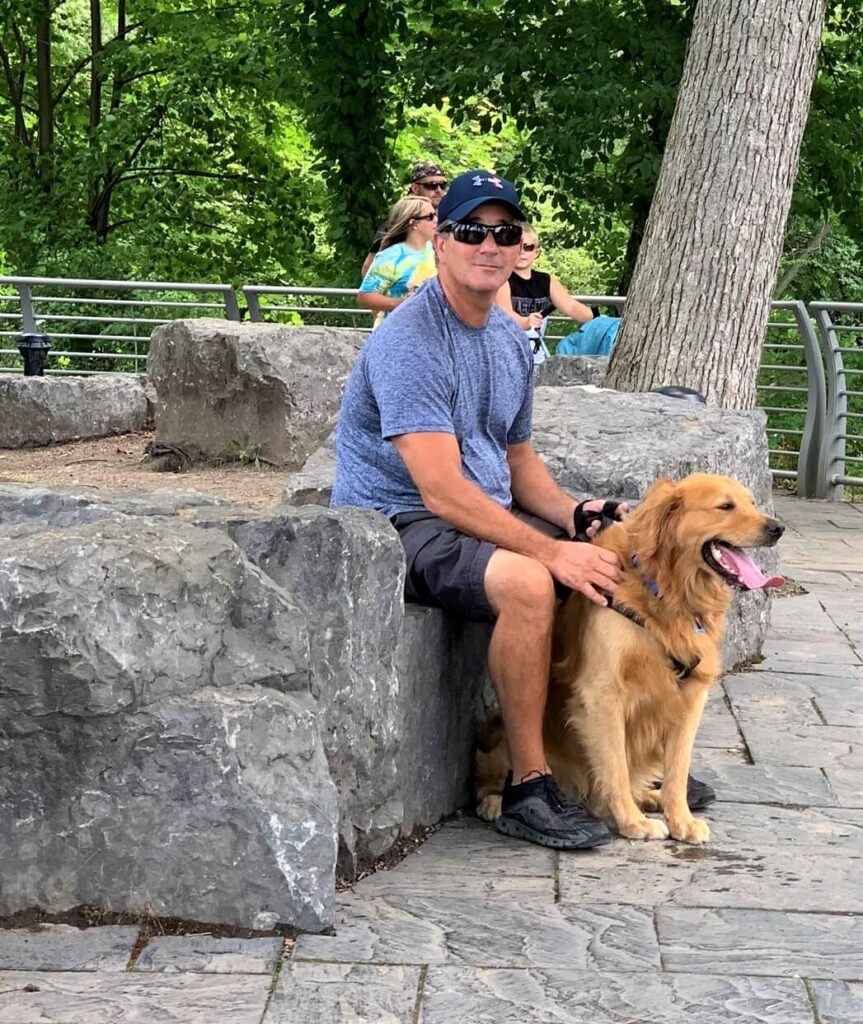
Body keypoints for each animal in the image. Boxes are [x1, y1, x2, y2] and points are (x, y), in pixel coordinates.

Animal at [475, 471, 786, 839]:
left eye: (752, 502)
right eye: (725, 506)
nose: (777, 528)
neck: (667, 592)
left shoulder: (690, 696)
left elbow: (677, 770)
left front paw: (681, 820)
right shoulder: (603, 693)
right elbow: (615, 765)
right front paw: (632, 821)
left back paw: (649, 796)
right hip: (501, 733)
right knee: (490, 780)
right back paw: (498, 802)